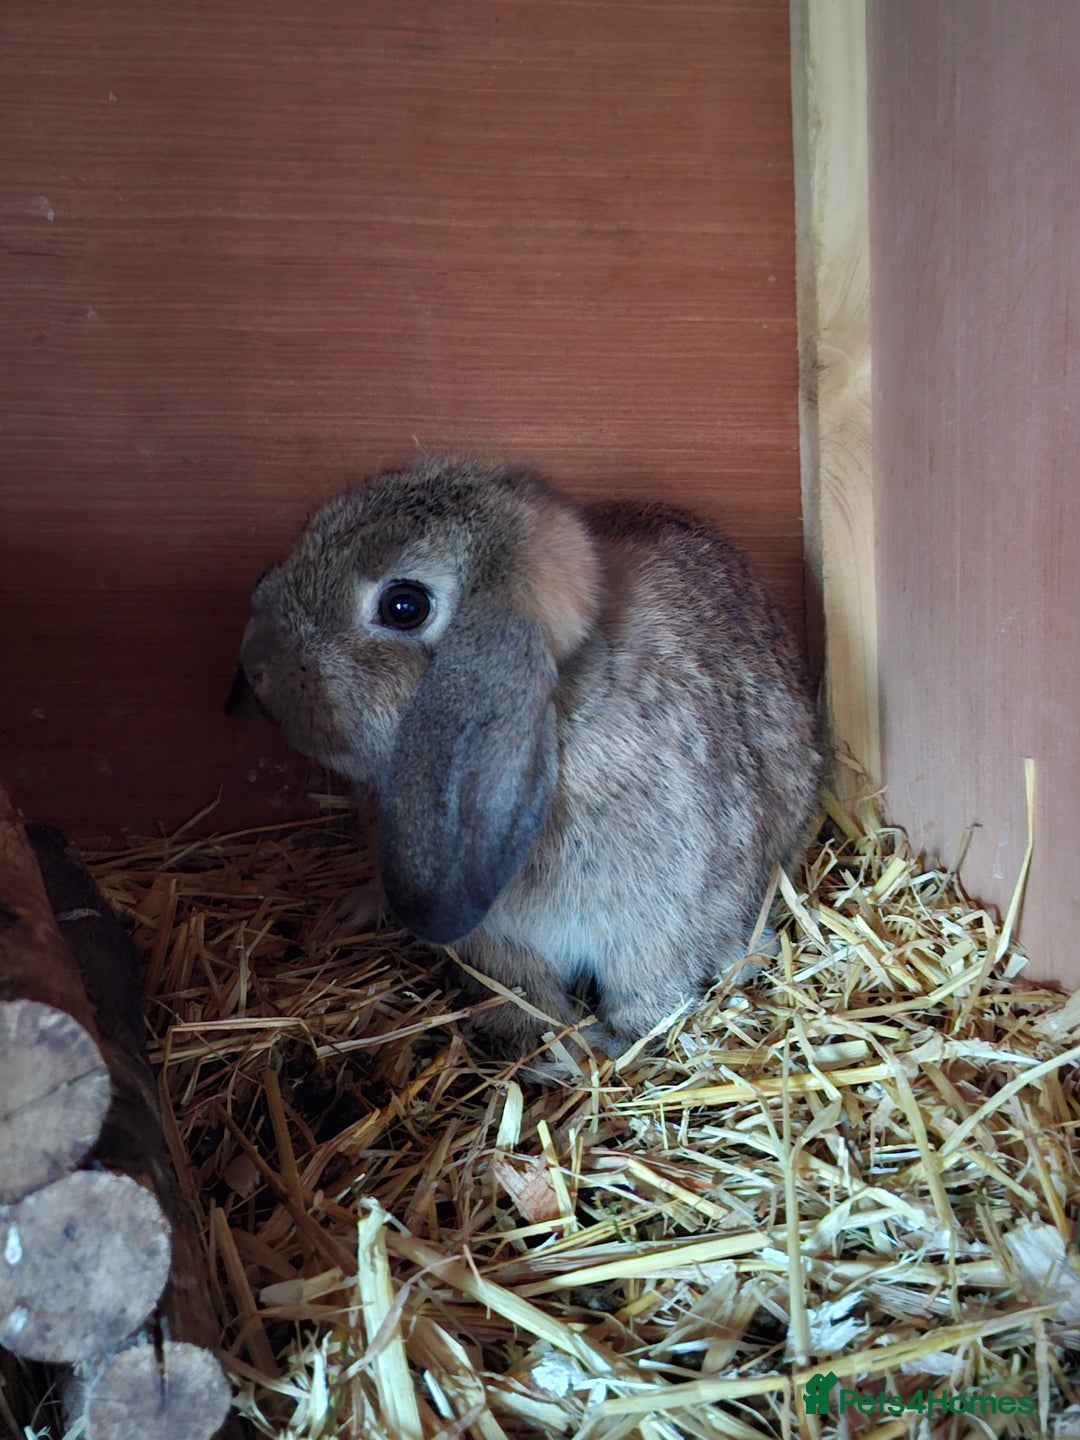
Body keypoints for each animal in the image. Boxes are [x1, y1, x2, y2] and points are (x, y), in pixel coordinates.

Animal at [227, 455, 823, 1058]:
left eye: (404, 606)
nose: (257, 668)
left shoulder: (664, 917)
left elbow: (653, 984)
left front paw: (616, 1042)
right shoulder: (498, 941)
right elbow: (523, 995)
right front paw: (542, 1048)